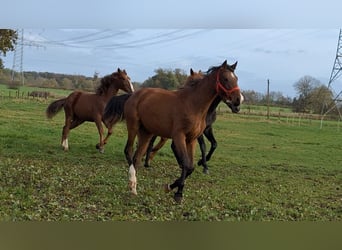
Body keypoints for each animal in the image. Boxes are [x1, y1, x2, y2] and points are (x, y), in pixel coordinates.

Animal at [123, 61, 240, 203]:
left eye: (236, 78)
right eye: (226, 79)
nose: (238, 101)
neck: (193, 105)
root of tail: (135, 94)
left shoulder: (192, 139)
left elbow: (191, 166)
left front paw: (172, 187)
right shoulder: (179, 137)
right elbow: (186, 163)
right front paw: (177, 192)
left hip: (146, 132)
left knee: (137, 156)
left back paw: (133, 187)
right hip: (133, 127)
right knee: (128, 150)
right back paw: (132, 180)